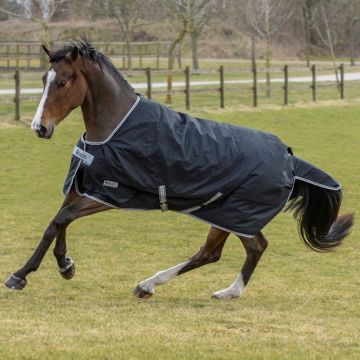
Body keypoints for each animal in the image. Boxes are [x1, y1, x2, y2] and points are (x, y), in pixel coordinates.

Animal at [4, 39, 354, 300]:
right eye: (43, 80)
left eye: (62, 82)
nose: (40, 128)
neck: (115, 127)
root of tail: (290, 160)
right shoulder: (85, 185)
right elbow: (55, 223)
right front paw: (55, 267)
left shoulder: (111, 194)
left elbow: (61, 219)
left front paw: (36, 272)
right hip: (225, 214)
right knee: (230, 250)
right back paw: (200, 290)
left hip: (234, 214)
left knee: (232, 250)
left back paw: (169, 286)